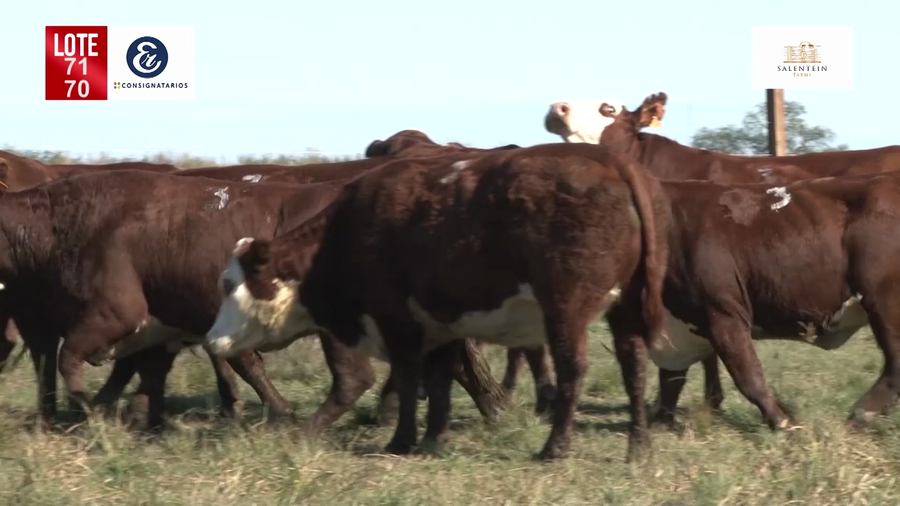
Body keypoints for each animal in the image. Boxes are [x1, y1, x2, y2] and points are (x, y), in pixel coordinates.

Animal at [202, 142, 668, 460]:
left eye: (228, 283)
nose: (210, 340)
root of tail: (605, 158)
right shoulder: (442, 325)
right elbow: (441, 380)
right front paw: (434, 437)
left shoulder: (397, 321)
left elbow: (410, 379)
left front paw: (401, 439)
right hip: (626, 308)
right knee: (634, 364)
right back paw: (639, 446)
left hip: (565, 310)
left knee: (573, 370)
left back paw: (555, 447)